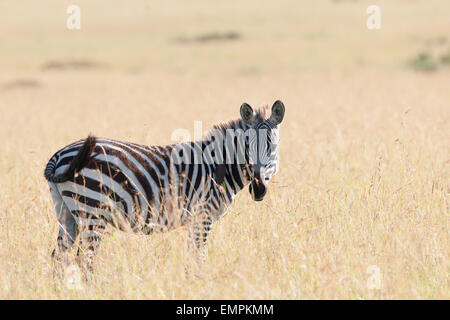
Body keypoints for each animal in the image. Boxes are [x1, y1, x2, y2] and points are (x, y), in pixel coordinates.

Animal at [44, 99, 284, 268]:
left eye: (272, 147)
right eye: (247, 145)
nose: (258, 189)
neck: (217, 166)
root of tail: (59, 154)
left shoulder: (195, 220)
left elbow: (192, 258)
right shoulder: (203, 216)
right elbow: (199, 258)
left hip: (66, 211)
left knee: (59, 258)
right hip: (93, 209)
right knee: (85, 259)